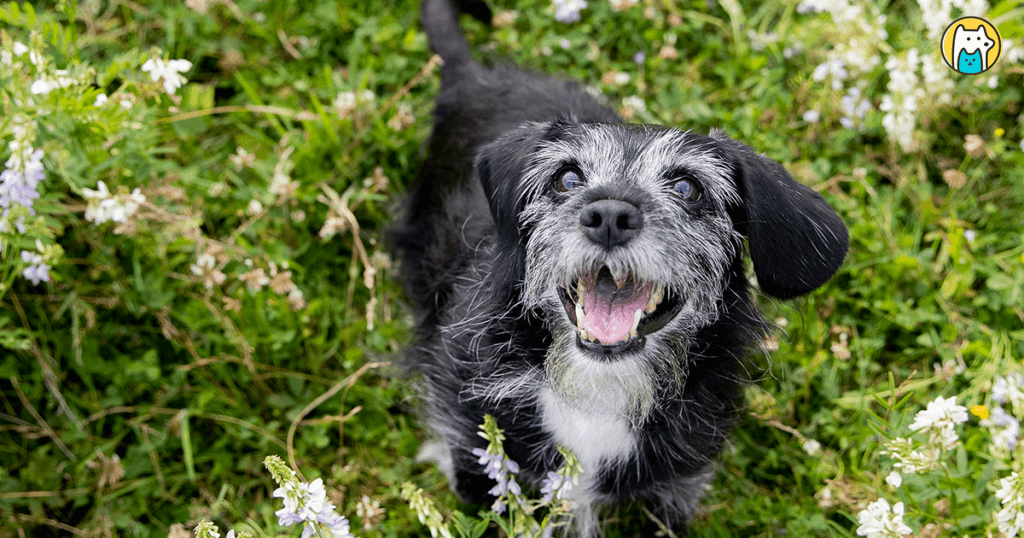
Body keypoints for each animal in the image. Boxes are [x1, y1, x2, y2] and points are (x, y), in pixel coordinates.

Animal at [391, 0, 847, 532]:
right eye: (567, 178)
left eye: (688, 187)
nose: (609, 216)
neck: (598, 392)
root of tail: (472, 78)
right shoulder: (472, 444)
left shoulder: (676, 489)